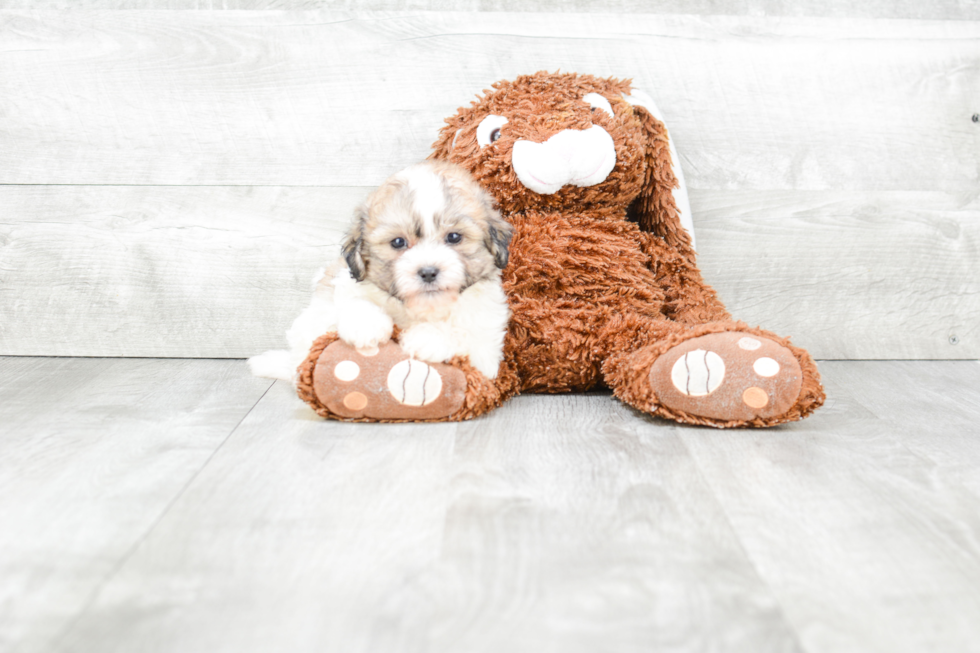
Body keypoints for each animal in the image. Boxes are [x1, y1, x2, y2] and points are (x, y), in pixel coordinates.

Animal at [249, 159, 512, 382]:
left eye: (454, 237)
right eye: (398, 242)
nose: (428, 272)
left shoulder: (486, 353)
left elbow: (465, 336)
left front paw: (429, 337)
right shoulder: (338, 291)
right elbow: (349, 305)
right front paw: (366, 324)